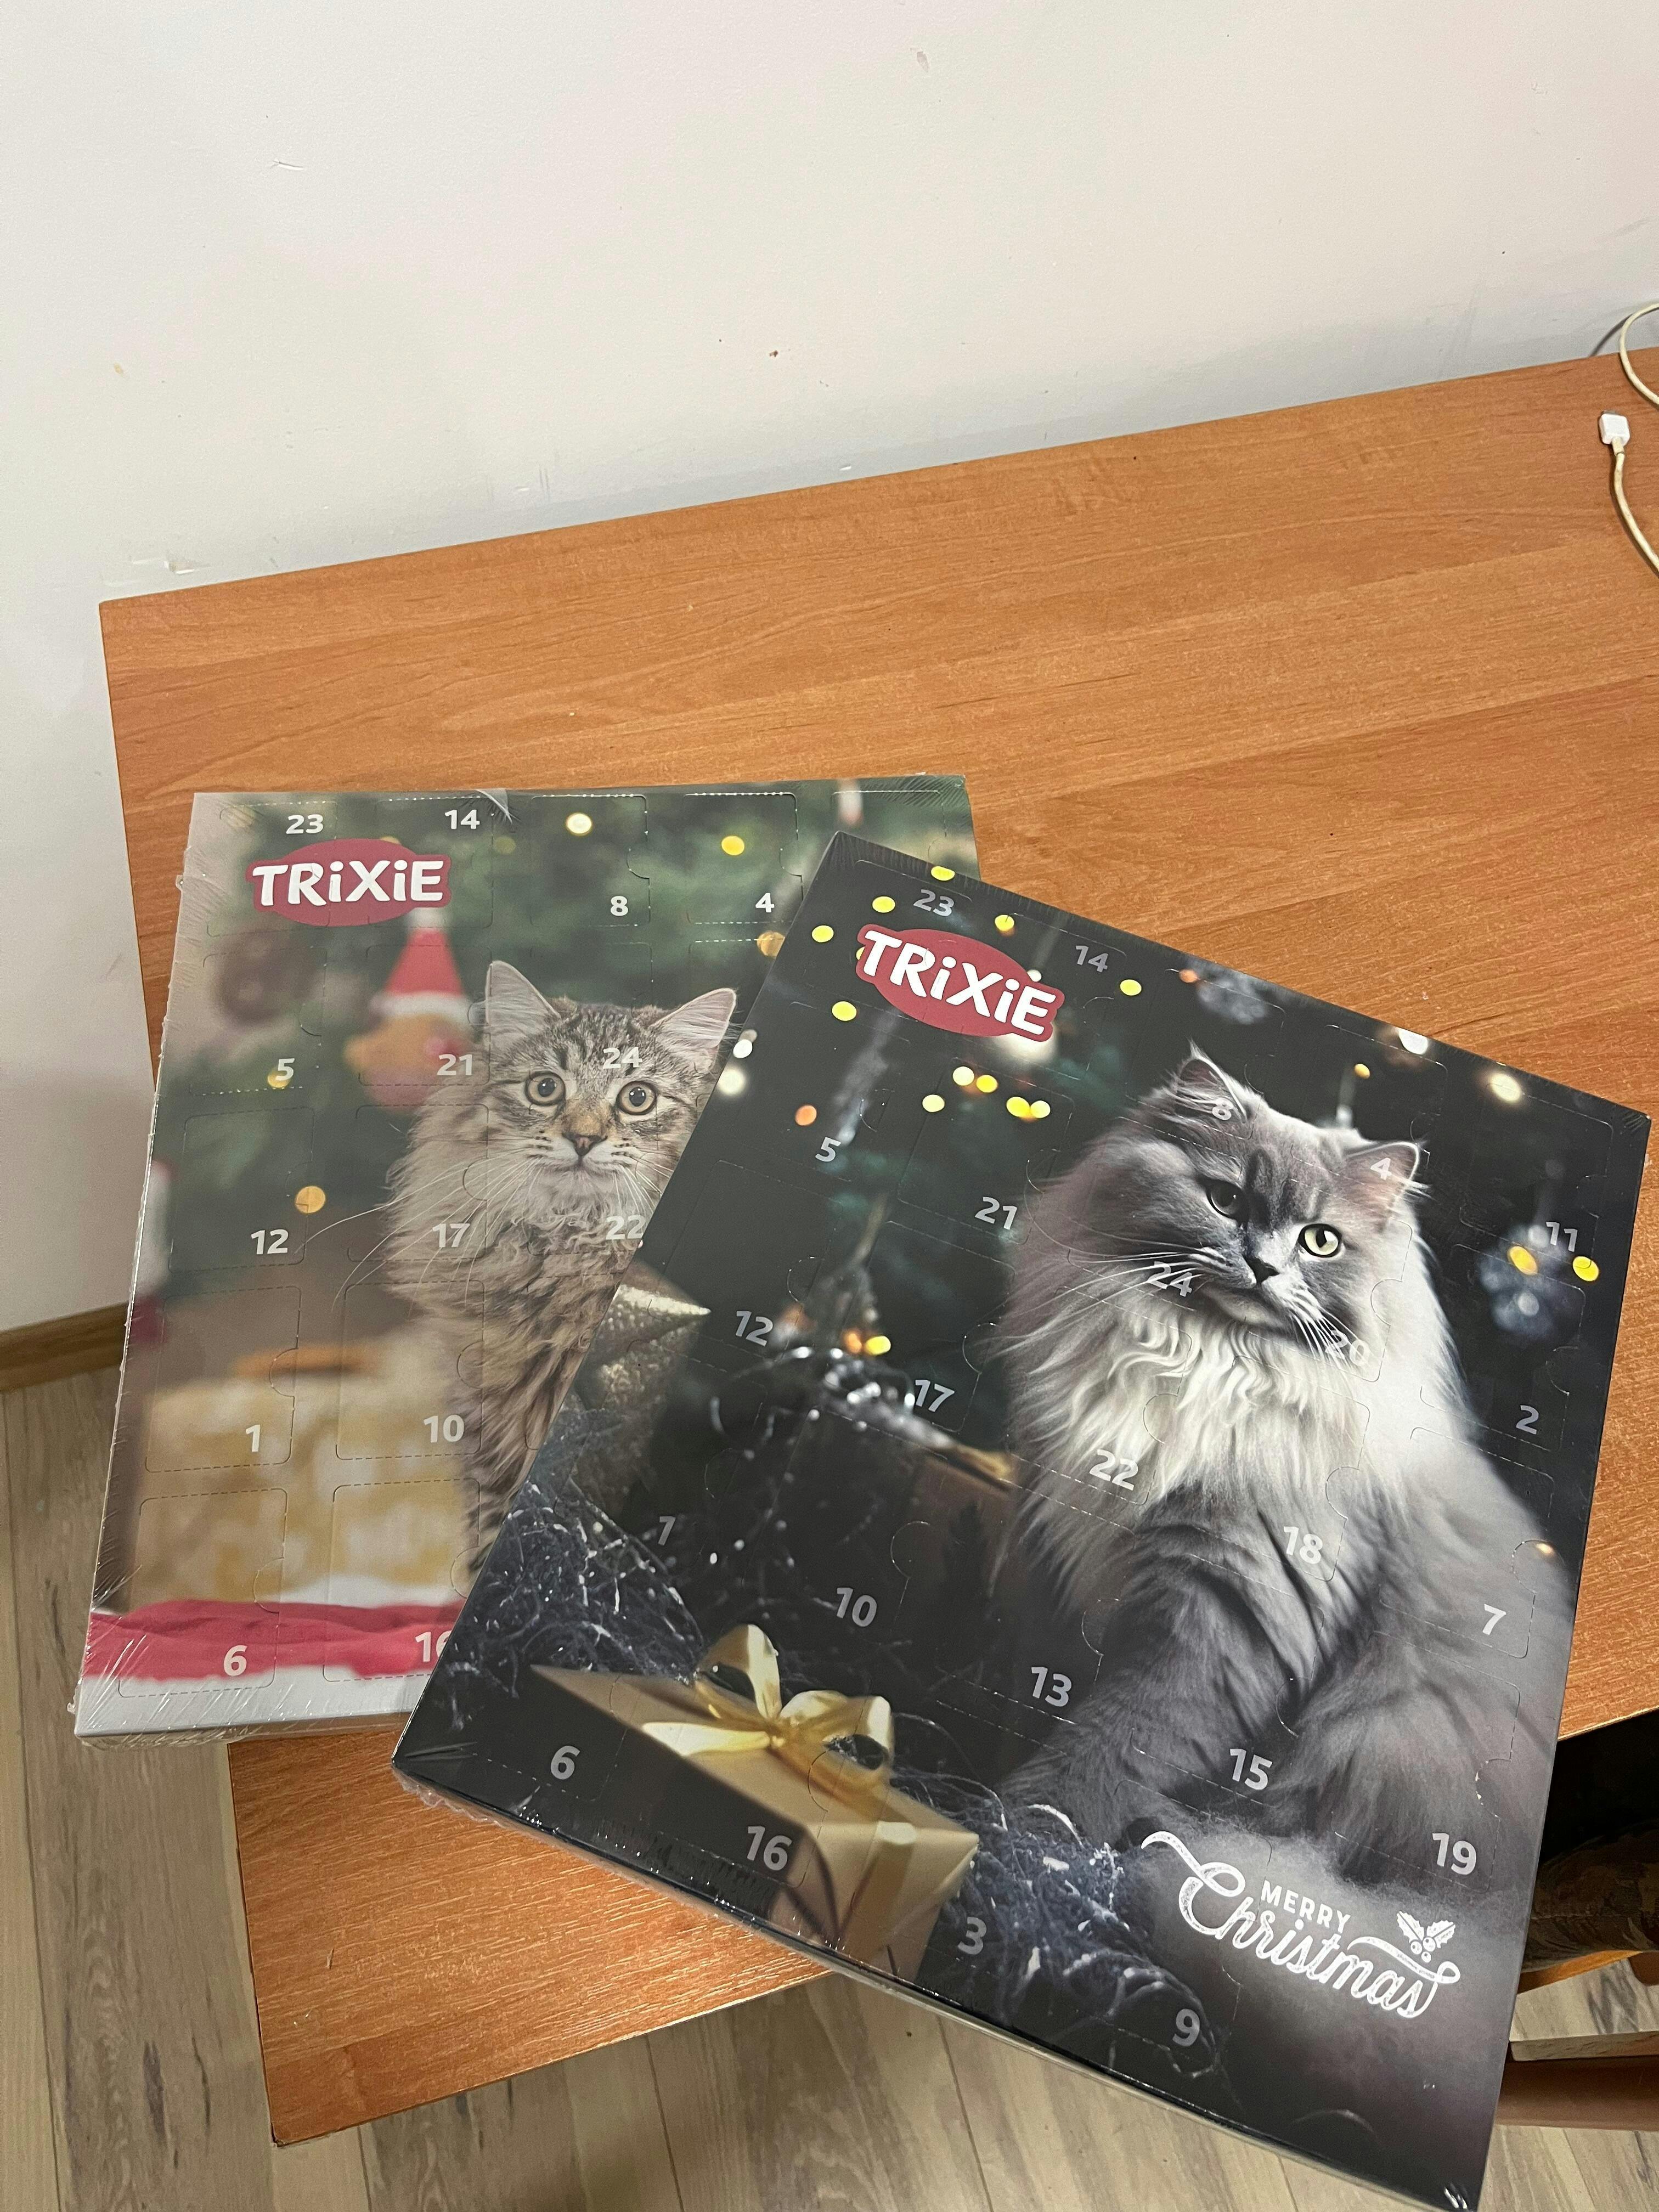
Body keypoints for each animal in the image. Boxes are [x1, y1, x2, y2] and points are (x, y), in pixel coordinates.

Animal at [1000, 1048, 1569, 1889]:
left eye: (1321, 1242)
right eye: (1226, 1200)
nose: (1262, 1265)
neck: (1201, 1357)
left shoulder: (1234, 1609)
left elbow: (1108, 1746)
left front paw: (1017, 1832)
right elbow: (1053, 1697)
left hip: (1388, 1735)